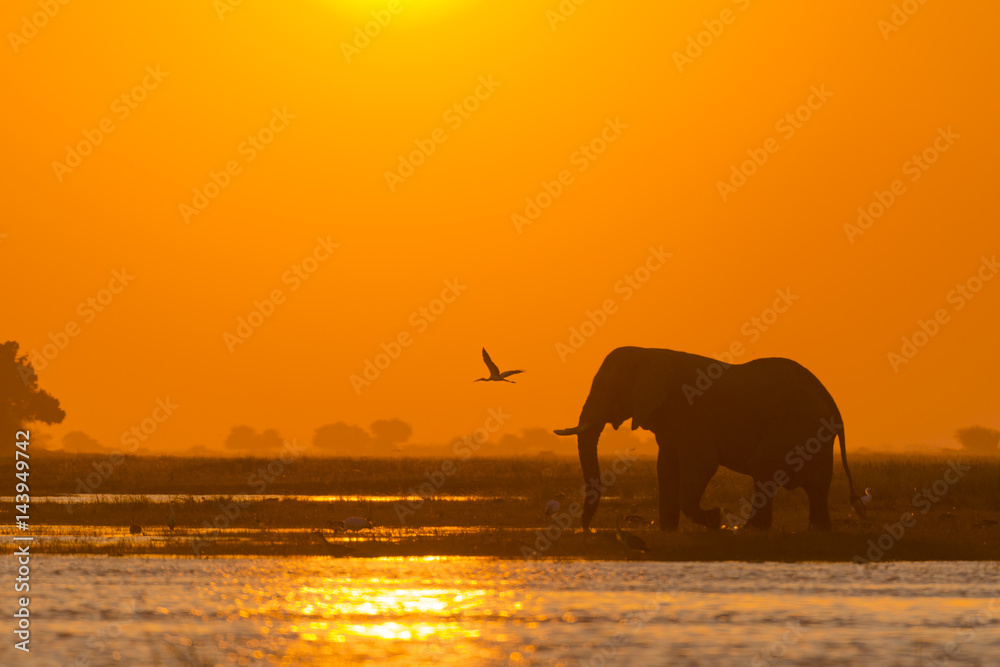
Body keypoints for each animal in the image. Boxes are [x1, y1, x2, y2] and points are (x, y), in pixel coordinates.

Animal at [552, 350, 864, 532]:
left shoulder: (687, 411)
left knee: (763, 466)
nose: (588, 530)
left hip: (793, 424)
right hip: (814, 432)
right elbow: (666, 467)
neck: (649, 351)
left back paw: (750, 529)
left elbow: (702, 462)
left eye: (610, 389)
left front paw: (715, 518)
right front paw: (668, 531)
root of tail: (831, 401)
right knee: (817, 484)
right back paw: (817, 528)